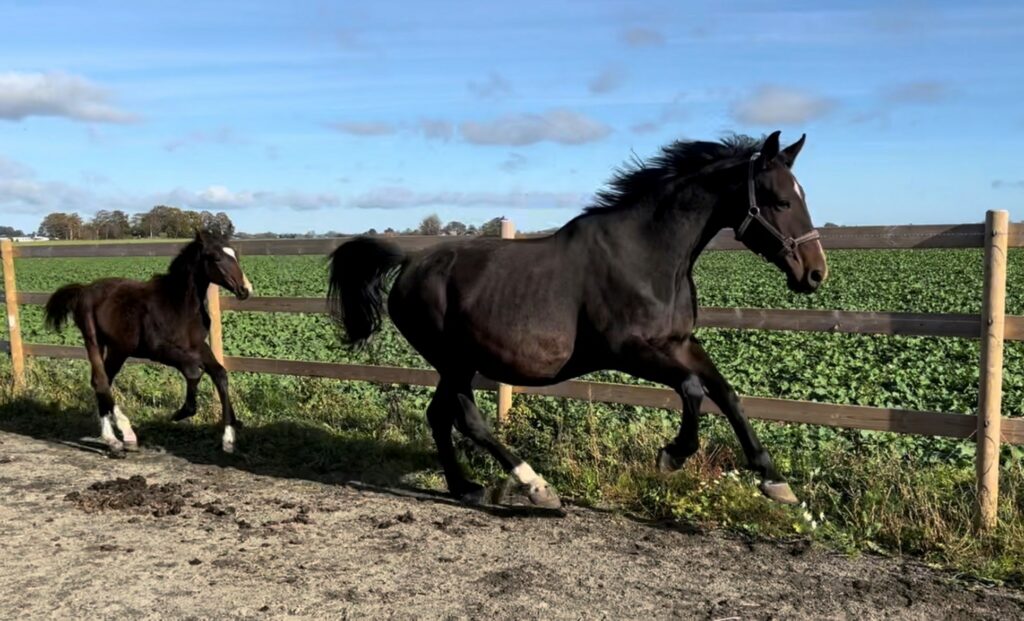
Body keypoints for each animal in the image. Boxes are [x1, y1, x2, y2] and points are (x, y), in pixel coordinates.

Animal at [44, 231, 253, 454]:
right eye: (215, 257)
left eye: (236, 255)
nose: (245, 290)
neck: (179, 305)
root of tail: (84, 289)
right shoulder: (160, 350)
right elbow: (193, 372)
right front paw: (181, 413)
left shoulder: (199, 347)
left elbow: (220, 374)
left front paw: (229, 439)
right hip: (94, 341)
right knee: (100, 381)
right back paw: (119, 437)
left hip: (119, 349)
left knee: (104, 380)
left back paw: (120, 438)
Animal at [331, 130, 827, 506]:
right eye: (780, 201)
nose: (815, 273)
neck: (648, 256)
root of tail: (409, 263)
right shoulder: (628, 351)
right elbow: (691, 390)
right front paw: (672, 456)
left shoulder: (681, 343)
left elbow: (726, 393)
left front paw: (774, 481)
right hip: (452, 361)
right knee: (466, 419)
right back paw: (535, 486)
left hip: (459, 363)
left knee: (439, 415)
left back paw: (466, 487)